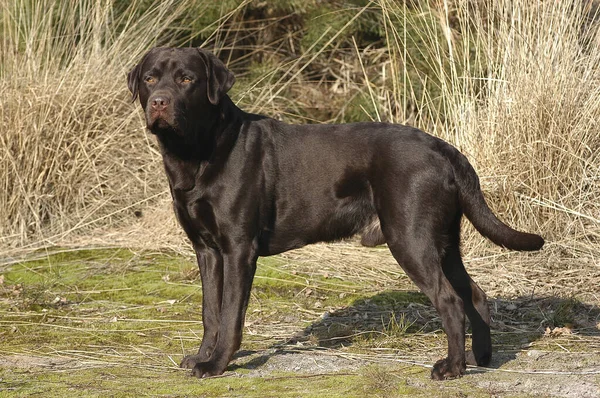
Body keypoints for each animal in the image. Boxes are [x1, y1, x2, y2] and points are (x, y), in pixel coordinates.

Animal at [127, 48, 544, 380]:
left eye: (187, 79)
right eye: (150, 78)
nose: (159, 102)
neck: (197, 152)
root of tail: (445, 148)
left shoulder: (238, 248)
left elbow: (230, 314)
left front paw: (216, 365)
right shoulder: (206, 249)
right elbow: (209, 311)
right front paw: (201, 356)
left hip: (410, 237)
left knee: (451, 301)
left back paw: (451, 368)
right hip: (443, 241)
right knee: (474, 294)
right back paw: (480, 358)